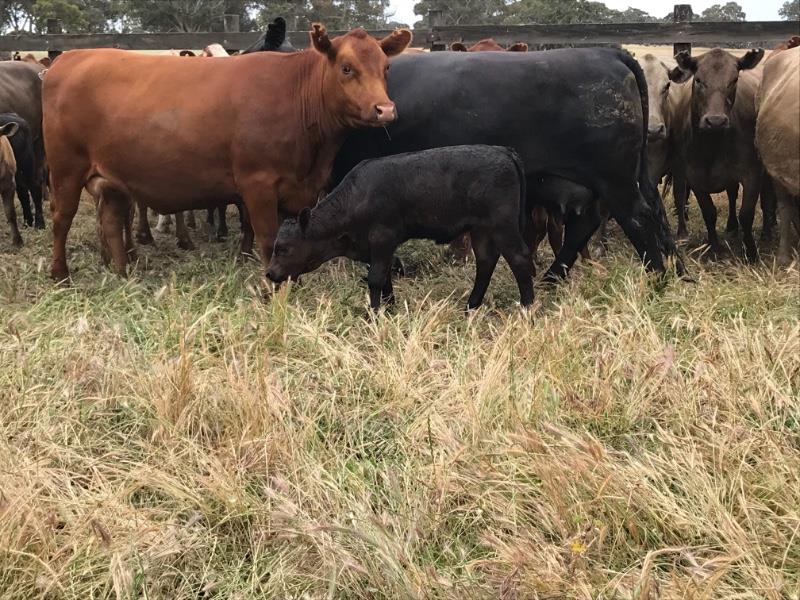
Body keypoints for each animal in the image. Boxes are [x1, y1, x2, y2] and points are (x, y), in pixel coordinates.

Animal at [44, 24, 412, 281]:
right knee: (62, 219)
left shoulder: (300, 190)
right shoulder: (257, 184)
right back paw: (60, 275)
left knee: (111, 220)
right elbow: (267, 241)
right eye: (346, 68)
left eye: (386, 68)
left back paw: (123, 275)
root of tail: (71, 57)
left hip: (112, 180)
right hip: (65, 170)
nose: (385, 110)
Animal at [267, 145, 534, 310]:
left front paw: (374, 313)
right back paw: (470, 307)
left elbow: (376, 278)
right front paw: (390, 309)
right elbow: (385, 276)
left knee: (519, 259)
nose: (269, 273)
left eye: (283, 248)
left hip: (503, 225)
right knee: (486, 262)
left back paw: (527, 308)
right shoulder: (374, 248)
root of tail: (503, 151)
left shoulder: (383, 237)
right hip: (481, 230)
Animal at [332, 49, 682, 283]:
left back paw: (656, 278)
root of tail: (608, 53)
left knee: (637, 218)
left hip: (615, 180)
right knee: (587, 224)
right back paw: (552, 278)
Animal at [668, 48, 765, 261]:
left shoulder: (752, 174)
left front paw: (751, 252)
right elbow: (709, 213)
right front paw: (714, 248)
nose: (715, 121)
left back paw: (732, 227)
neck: (712, 146)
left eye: (734, 79)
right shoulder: (694, 177)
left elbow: (746, 214)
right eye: (698, 80)